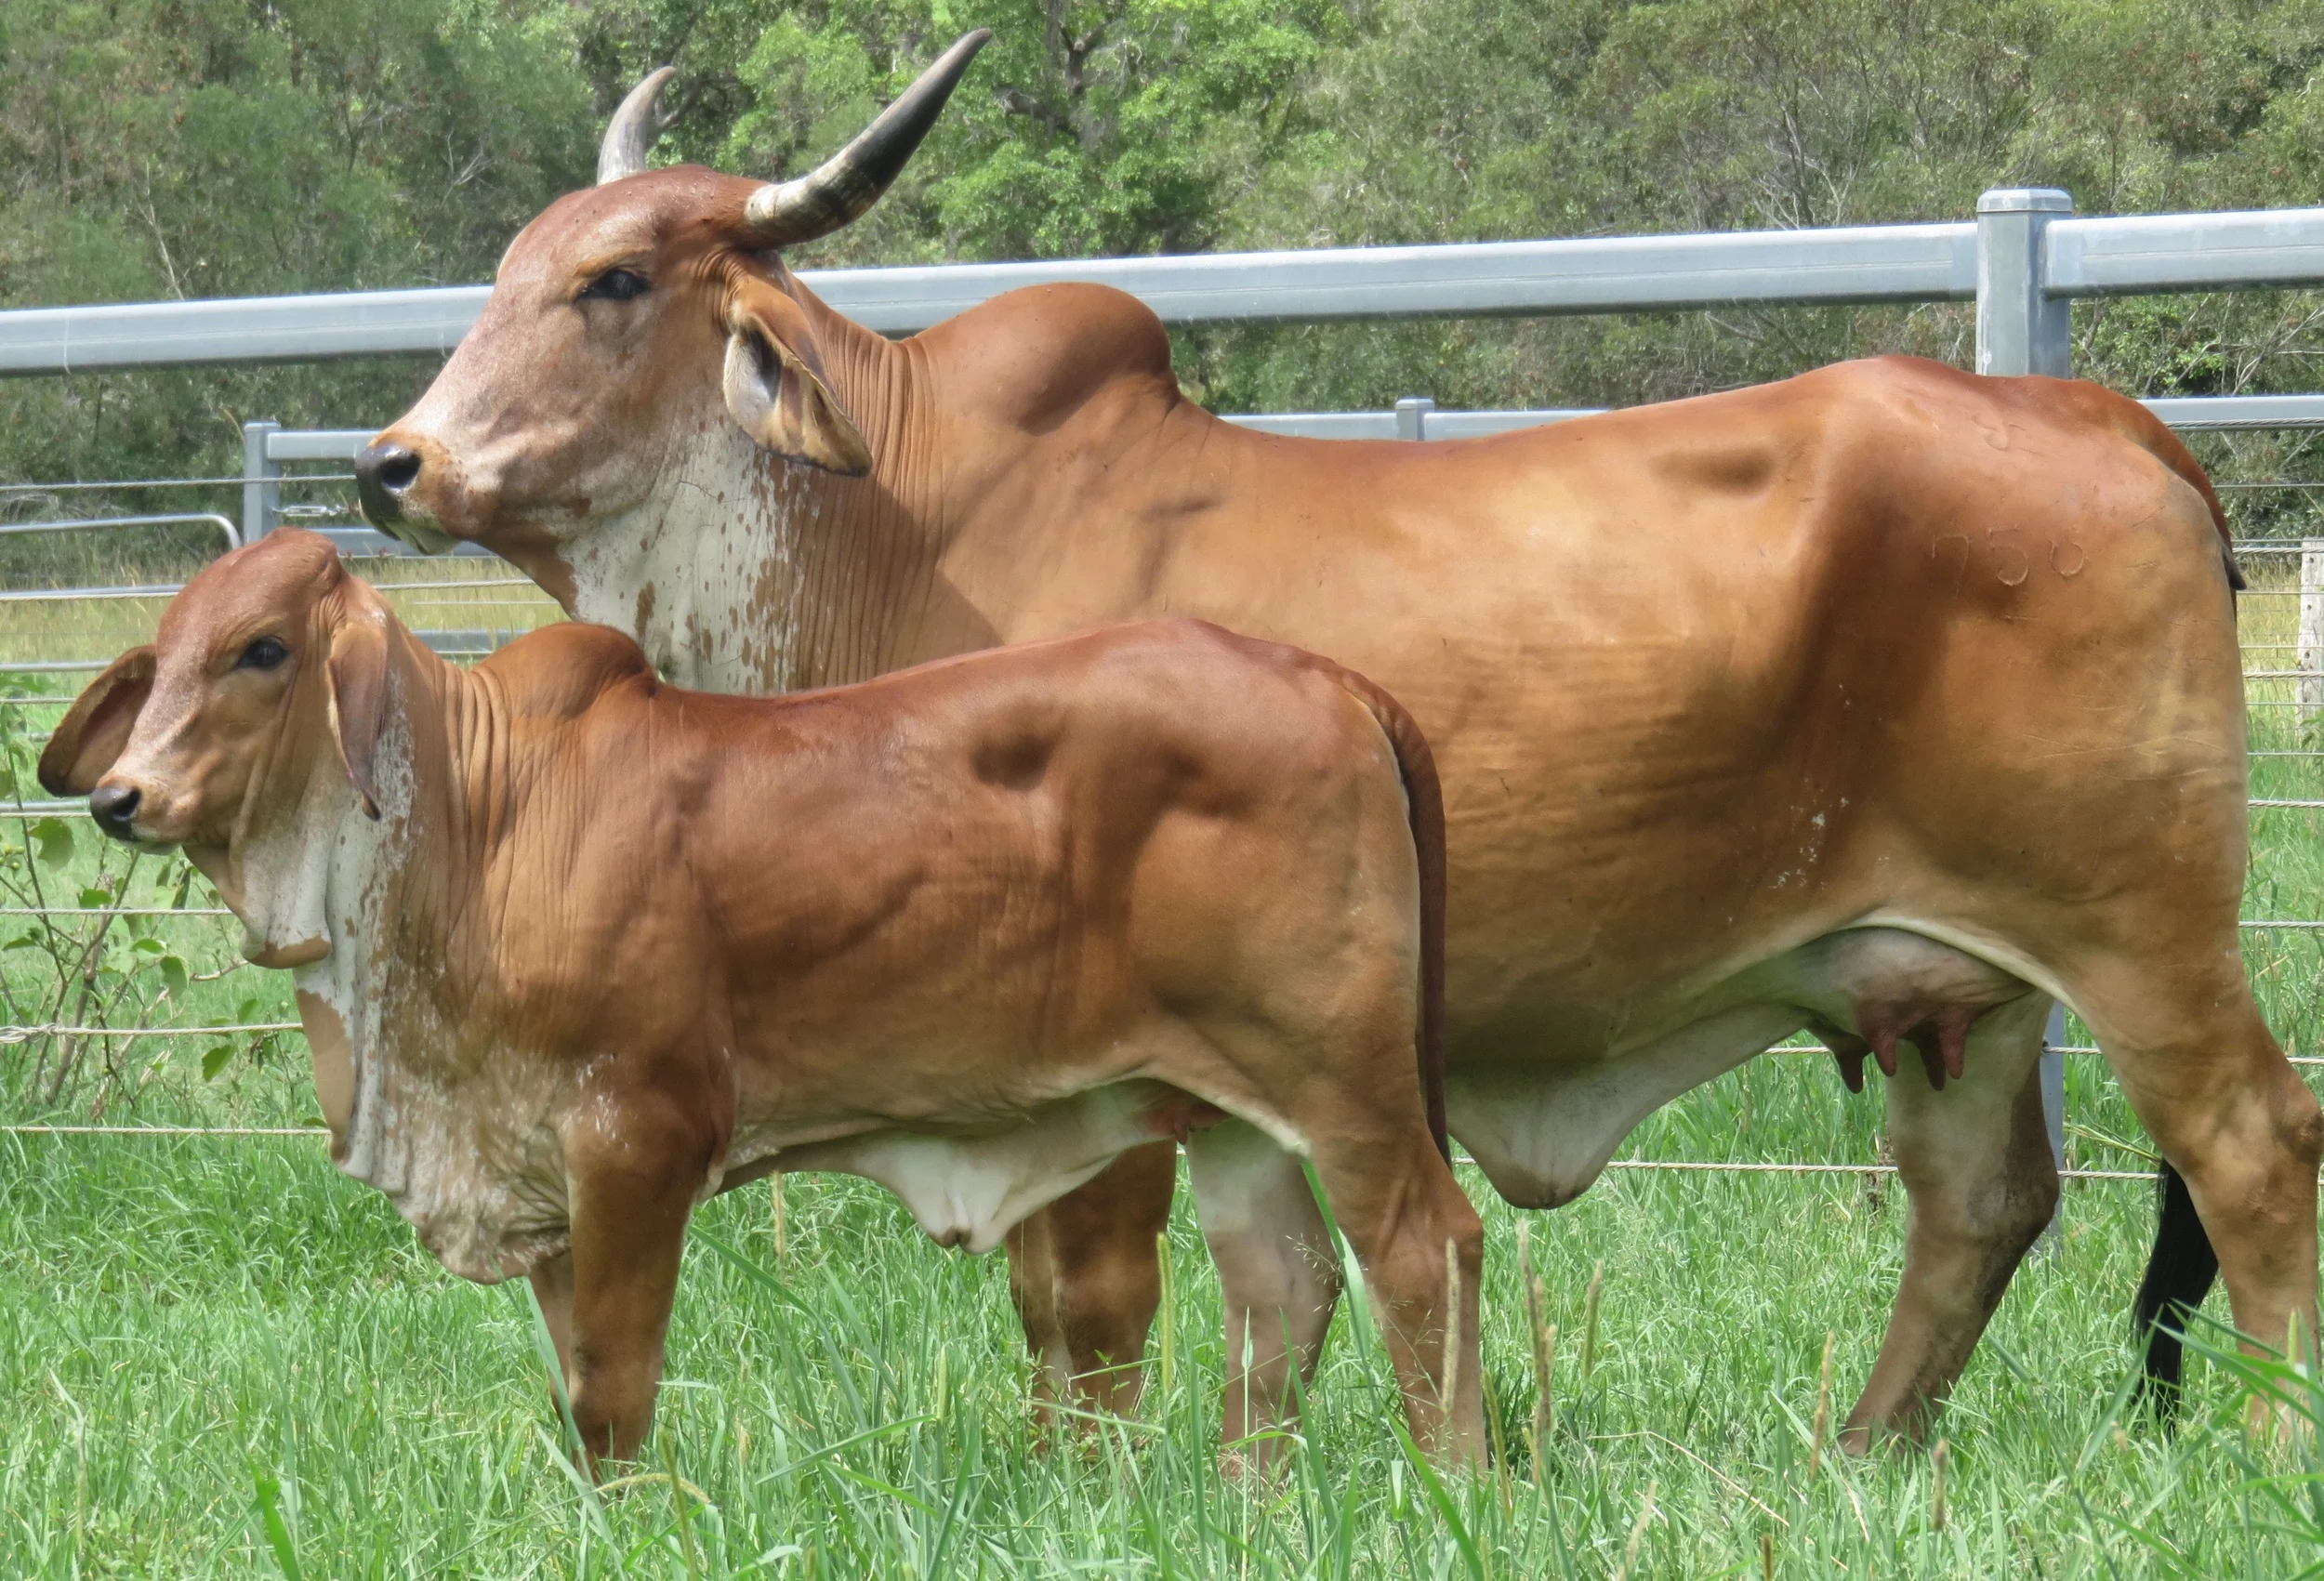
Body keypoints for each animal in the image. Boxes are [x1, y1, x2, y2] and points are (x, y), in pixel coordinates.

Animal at [37, 529, 1483, 1471]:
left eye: (261, 649)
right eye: (161, 655)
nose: (120, 798)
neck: (475, 822)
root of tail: (1328, 677)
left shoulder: (636, 1137)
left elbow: (613, 1387)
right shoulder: (537, 1170)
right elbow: (573, 1385)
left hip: (1344, 1080)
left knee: (1423, 1249)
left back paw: (1452, 1487)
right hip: (1227, 1103)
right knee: (1283, 1285)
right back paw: (1247, 1499)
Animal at [352, 36, 2320, 1449]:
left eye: (613, 281)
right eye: (510, 267)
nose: (395, 463)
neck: (880, 521)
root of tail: (2101, 413)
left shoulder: (1087, 1059)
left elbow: (1088, 1303)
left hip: (2137, 932)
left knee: (2250, 1151)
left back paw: (2259, 1442)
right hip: (1953, 982)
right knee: (1982, 1205)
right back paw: (1862, 1451)